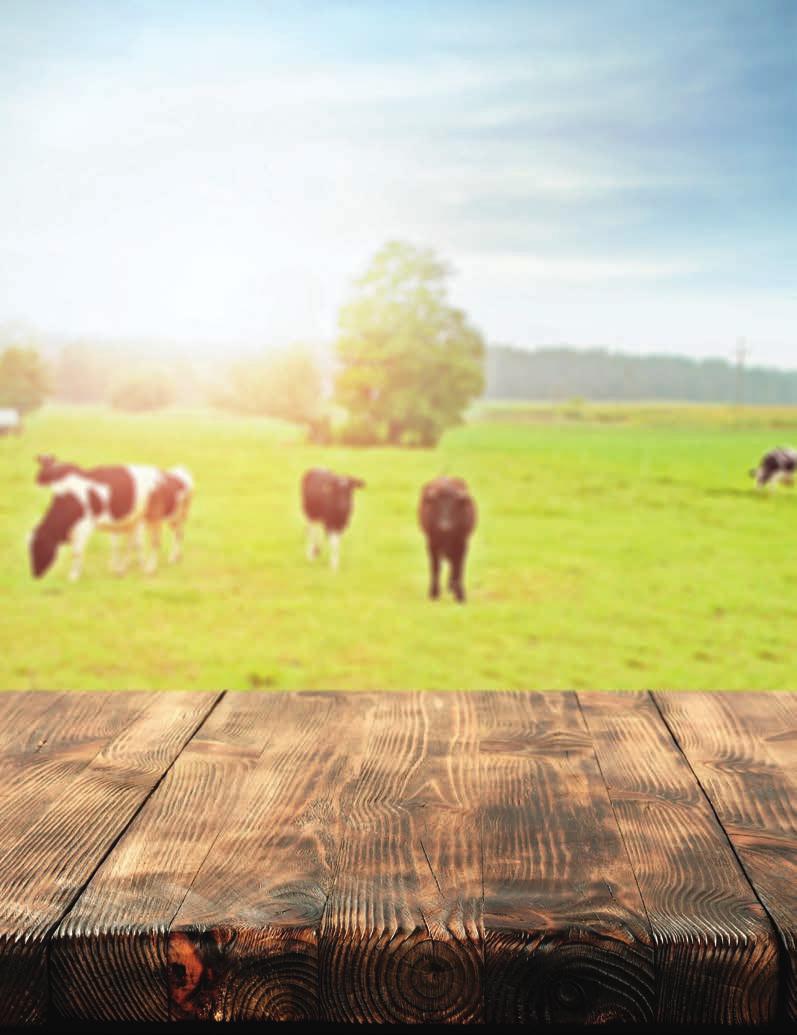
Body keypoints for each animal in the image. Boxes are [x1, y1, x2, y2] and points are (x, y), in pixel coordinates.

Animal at [31, 455, 194, 583]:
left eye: (39, 548)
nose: (35, 575)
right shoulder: (115, 524)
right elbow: (118, 545)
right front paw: (116, 567)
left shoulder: (85, 526)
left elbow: (77, 551)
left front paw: (73, 576)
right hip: (149, 519)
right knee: (149, 540)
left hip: (161, 517)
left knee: (163, 539)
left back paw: (154, 566)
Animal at [418, 474, 476, 604]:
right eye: (437, 505)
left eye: (454, 505)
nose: (445, 527)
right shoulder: (432, 544)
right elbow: (435, 568)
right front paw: (434, 594)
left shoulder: (462, 543)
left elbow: (458, 567)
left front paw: (460, 595)